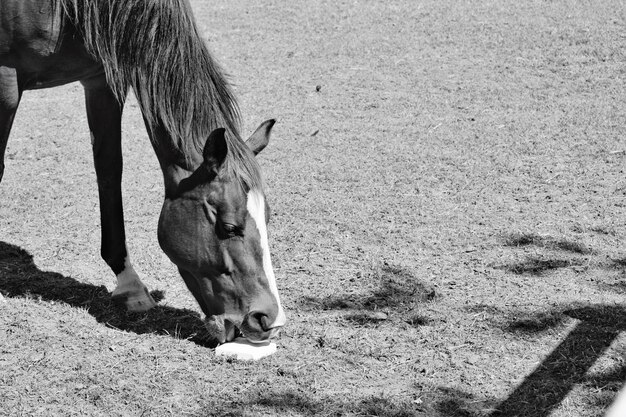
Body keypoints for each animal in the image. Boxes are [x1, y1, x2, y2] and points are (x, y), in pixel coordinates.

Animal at [0, 0, 286, 342]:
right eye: (230, 227)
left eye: (267, 218)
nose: (268, 319)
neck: (65, 11)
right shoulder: (5, 81)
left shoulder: (102, 79)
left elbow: (110, 171)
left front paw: (130, 285)